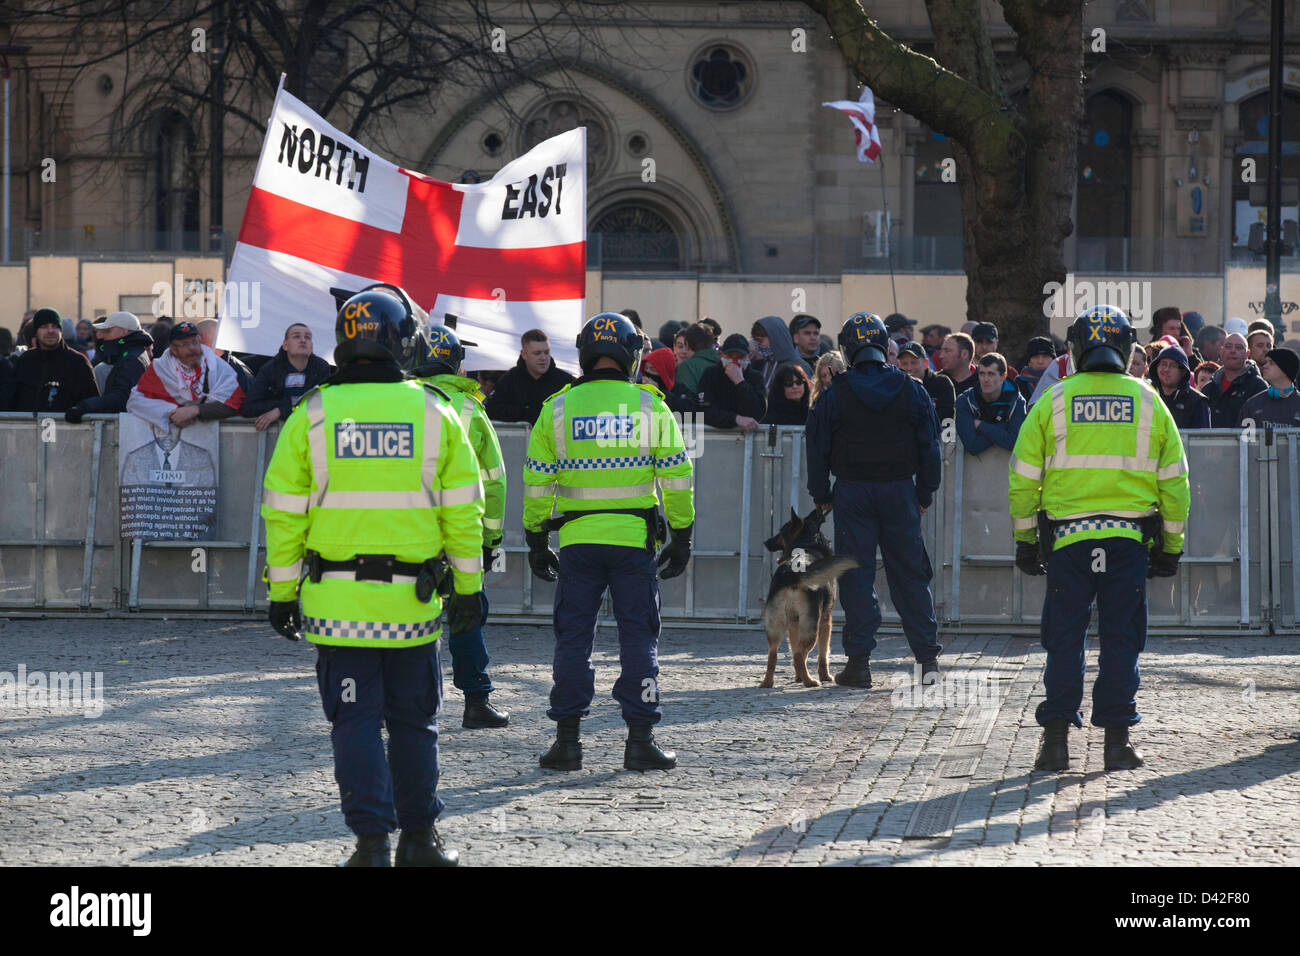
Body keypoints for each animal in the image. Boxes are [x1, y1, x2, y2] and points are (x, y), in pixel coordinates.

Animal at [759, 509, 857, 686]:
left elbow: (793, 648)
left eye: (780, 531)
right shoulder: (826, 620)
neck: (807, 542)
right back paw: (810, 681)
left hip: (776, 626)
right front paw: (825, 676)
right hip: (812, 627)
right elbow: (823, 653)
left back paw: (768, 683)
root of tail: (791, 574)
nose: (766, 542)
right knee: (799, 655)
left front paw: (798, 677)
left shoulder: (793, 623)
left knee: (774, 655)